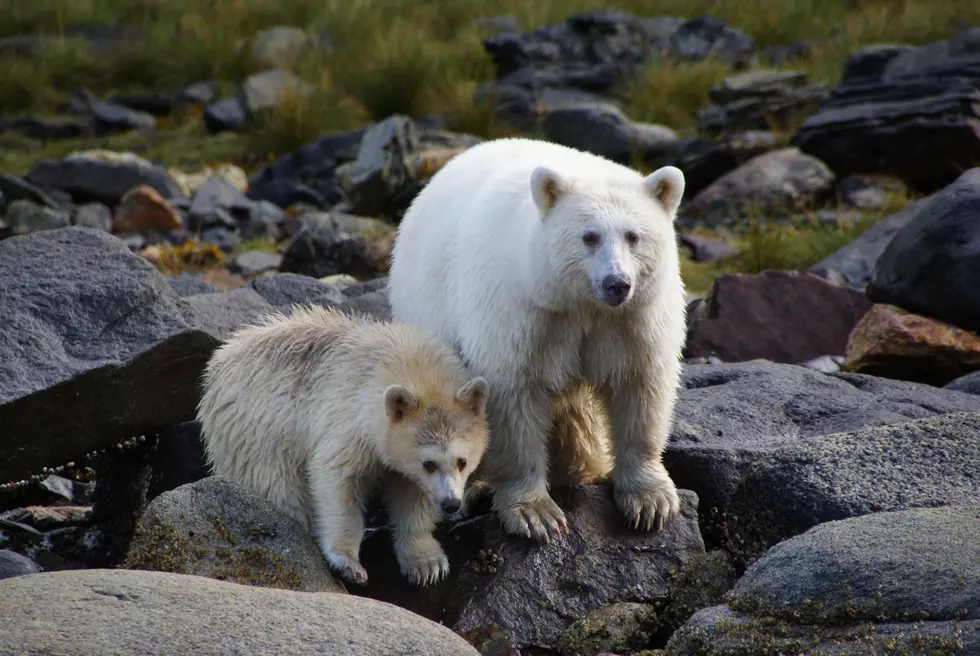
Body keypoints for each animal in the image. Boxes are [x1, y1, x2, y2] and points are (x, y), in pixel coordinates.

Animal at [197, 304, 490, 588]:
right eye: (428, 463)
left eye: (462, 462)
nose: (451, 503)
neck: (405, 362)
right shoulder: (350, 418)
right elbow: (337, 477)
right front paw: (347, 563)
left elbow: (413, 494)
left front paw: (427, 564)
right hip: (257, 431)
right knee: (278, 486)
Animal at [386, 137, 684, 544]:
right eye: (589, 236)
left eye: (633, 236)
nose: (617, 283)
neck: (579, 304)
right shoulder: (525, 312)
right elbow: (513, 395)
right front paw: (535, 513)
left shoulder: (632, 319)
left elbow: (640, 386)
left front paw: (650, 501)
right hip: (427, 307)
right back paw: (477, 488)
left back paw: (584, 466)